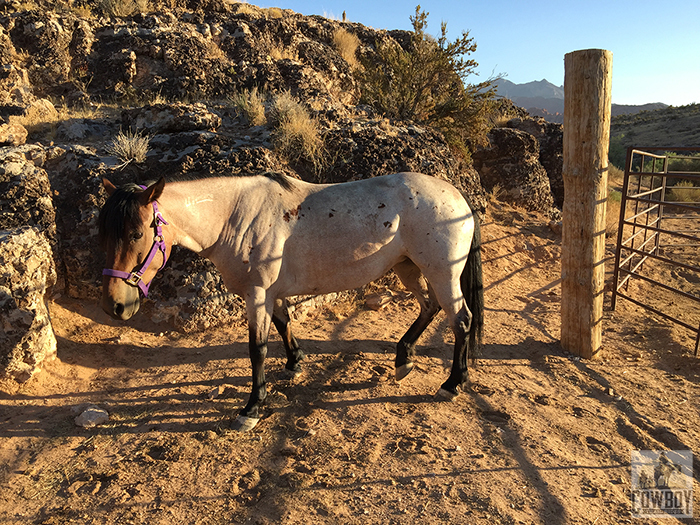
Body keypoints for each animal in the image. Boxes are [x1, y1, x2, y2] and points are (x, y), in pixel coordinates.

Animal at [97, 172, 482, 430]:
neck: (235, 217)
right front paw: (294, 363)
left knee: (461, 319)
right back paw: (403, 360)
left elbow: (257, 348)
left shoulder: (257, 294)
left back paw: (452, 383)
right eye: (103, 233)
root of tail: (458, 198)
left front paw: (252, 407)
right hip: (408, 268)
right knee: (429, 307)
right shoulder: (271, 294)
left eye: (136, 233)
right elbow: (284, 325)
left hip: (441, 273)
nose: (114, 305)